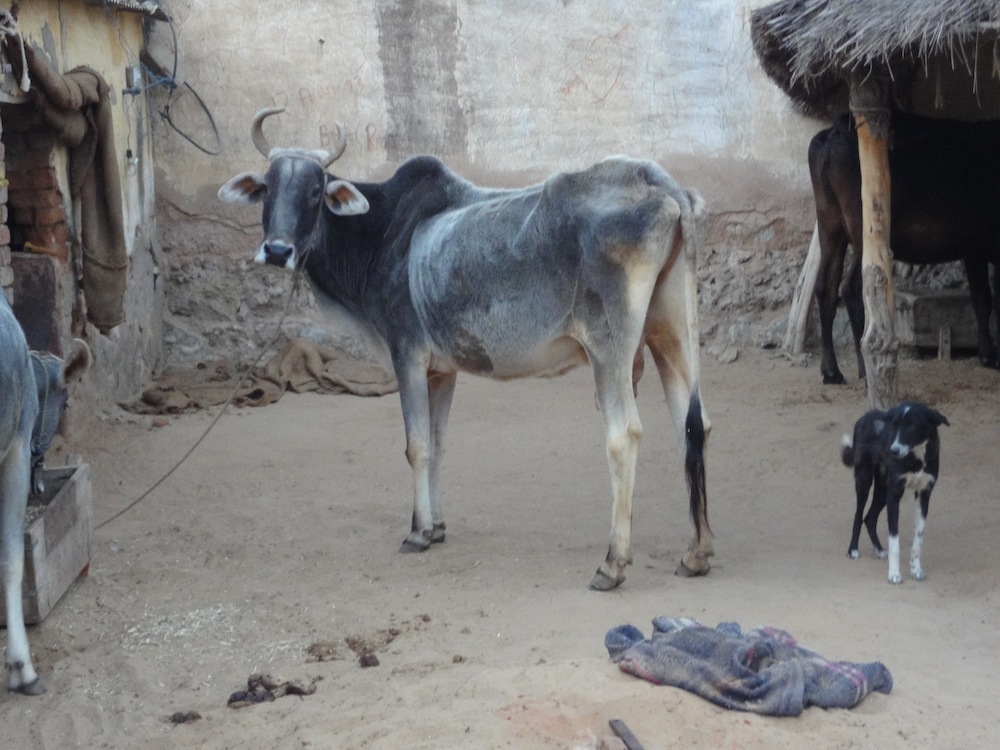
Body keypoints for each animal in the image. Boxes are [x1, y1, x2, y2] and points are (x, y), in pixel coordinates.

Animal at [223, 108, 716, 592]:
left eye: (314, 191)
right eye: (267, 189)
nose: (277, 250)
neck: (382, 232)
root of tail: (657, 180)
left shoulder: (407, 355)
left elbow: (417, 445)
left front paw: (417, 532)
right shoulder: (442, 371)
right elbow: (438, 444)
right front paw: (436, 527)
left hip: (608, 347)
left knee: (624, 435)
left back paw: (612, 564)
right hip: (671, 333)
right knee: (693, 426)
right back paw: (696, 554)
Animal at [812, 114, 1000, 384]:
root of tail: (834, 131)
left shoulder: (974, 248)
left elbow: (981, 298)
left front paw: (987, 354)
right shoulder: (981, 245)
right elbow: (989, 300)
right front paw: (991, 356)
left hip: (830, 228)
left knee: (825, 288)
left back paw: (831, 371)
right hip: (863, 232)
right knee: (852, 289)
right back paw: (865, 370)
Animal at [840, 402, 948, 584]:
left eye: (911, 426)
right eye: (895, 425)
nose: (894, 451)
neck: (916, 457)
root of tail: (866, 416)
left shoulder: (924, 495)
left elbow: (918, 540)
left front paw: (916, 570)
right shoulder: (894, 495)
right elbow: (894, 542)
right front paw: (894, 574)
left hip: (883, 490)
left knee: (869, 518)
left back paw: (878, 550)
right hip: (864, 480)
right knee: (858, 515)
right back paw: (853, 549)